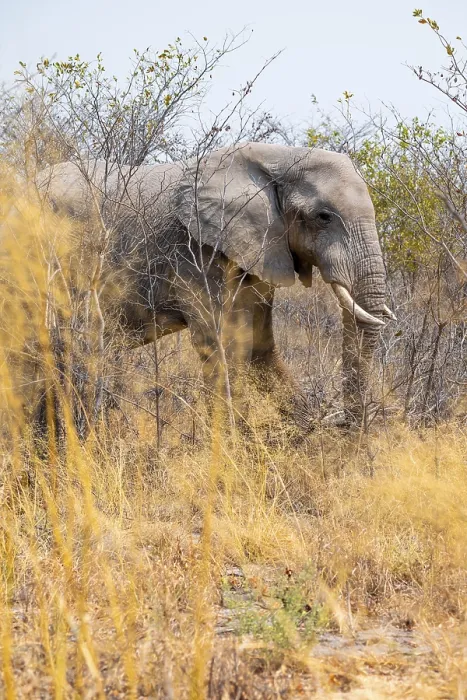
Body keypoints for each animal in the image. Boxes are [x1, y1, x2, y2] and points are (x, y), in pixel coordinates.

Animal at [38, 142, 395, 430]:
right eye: (323, 216)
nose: (344, 424)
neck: (278, 157)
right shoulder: (194, 253)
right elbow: (225, 347)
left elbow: (260, 348)